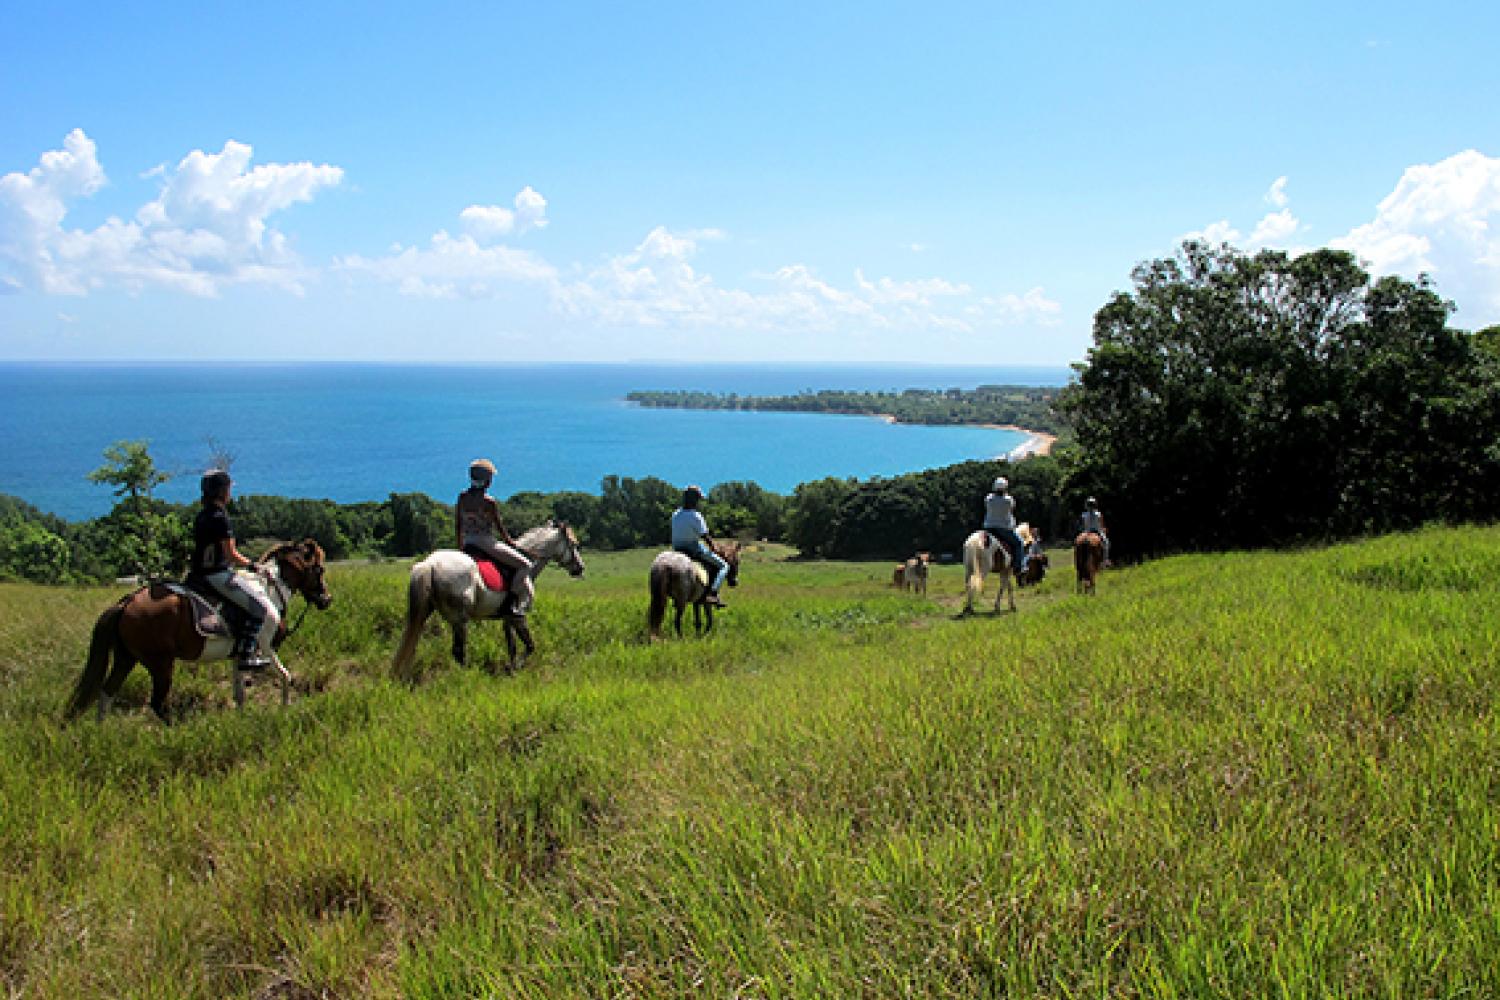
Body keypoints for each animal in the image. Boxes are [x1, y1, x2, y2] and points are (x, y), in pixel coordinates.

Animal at [66, 542, 333, 722]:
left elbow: (239, 694)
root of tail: (126, 603)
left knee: (106, 693)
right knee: (158, 704)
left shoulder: (239, 655)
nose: (326, 600)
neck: (267, 589)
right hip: (160, 663)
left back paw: (101, 732)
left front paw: (241, 721)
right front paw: (285, 709)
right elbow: (285, 675)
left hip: (126, 658)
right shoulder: (266, 647)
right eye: (319, 570)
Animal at [390, 515, 582, 680]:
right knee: (458, 652)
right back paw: (467, 678)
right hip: (460, 619)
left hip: (427, 611)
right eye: (574, 544)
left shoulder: (507, 617)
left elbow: (512, 646)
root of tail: (429, 563)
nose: (580, 568)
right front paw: (517, 667)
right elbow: (530, 646)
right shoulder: (518, 616)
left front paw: (511, 669)